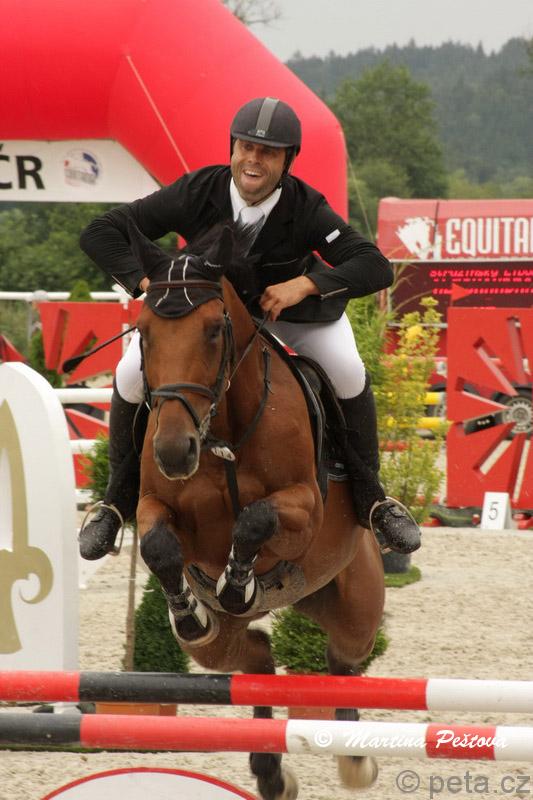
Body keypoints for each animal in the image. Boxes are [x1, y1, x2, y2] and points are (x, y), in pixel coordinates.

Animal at [129, 220, 385, 800]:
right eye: (144, 333)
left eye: (213, 331)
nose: (174, 452)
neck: (221, 432)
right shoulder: (155, 504)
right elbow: (158, 544)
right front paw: (191, 608)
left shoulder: (305, 510)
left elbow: (254, 519)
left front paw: (236, 584)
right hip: (220, 649)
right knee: (258, 660)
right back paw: (269, 770)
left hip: (357, 607)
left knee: (342, 661)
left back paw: (355, 757)